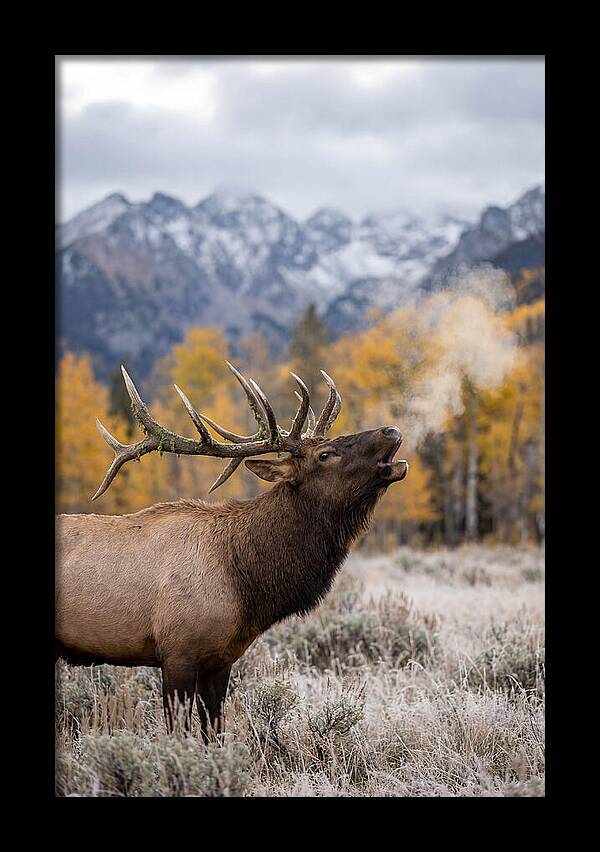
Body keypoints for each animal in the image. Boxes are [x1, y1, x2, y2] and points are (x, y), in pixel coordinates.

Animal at [55, 362, 408, 737]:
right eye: (324, 454)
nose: (391, 430)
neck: (245, 585)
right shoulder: (177, 652)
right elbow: (179, 734)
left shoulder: (220, 660)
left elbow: (214, 731)